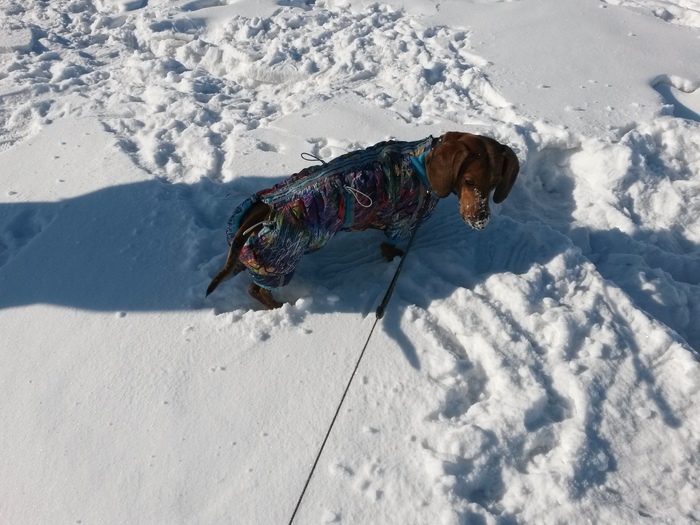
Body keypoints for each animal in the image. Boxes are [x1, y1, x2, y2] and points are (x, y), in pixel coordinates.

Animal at [205, 131, 516, 310]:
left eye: (494, 184)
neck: (422, 163)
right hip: (279, 261)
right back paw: (279, 306)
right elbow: (390, 248)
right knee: (256, 289)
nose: (481, 221)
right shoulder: (400, 223)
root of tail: (261, 209)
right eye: (468, 181)